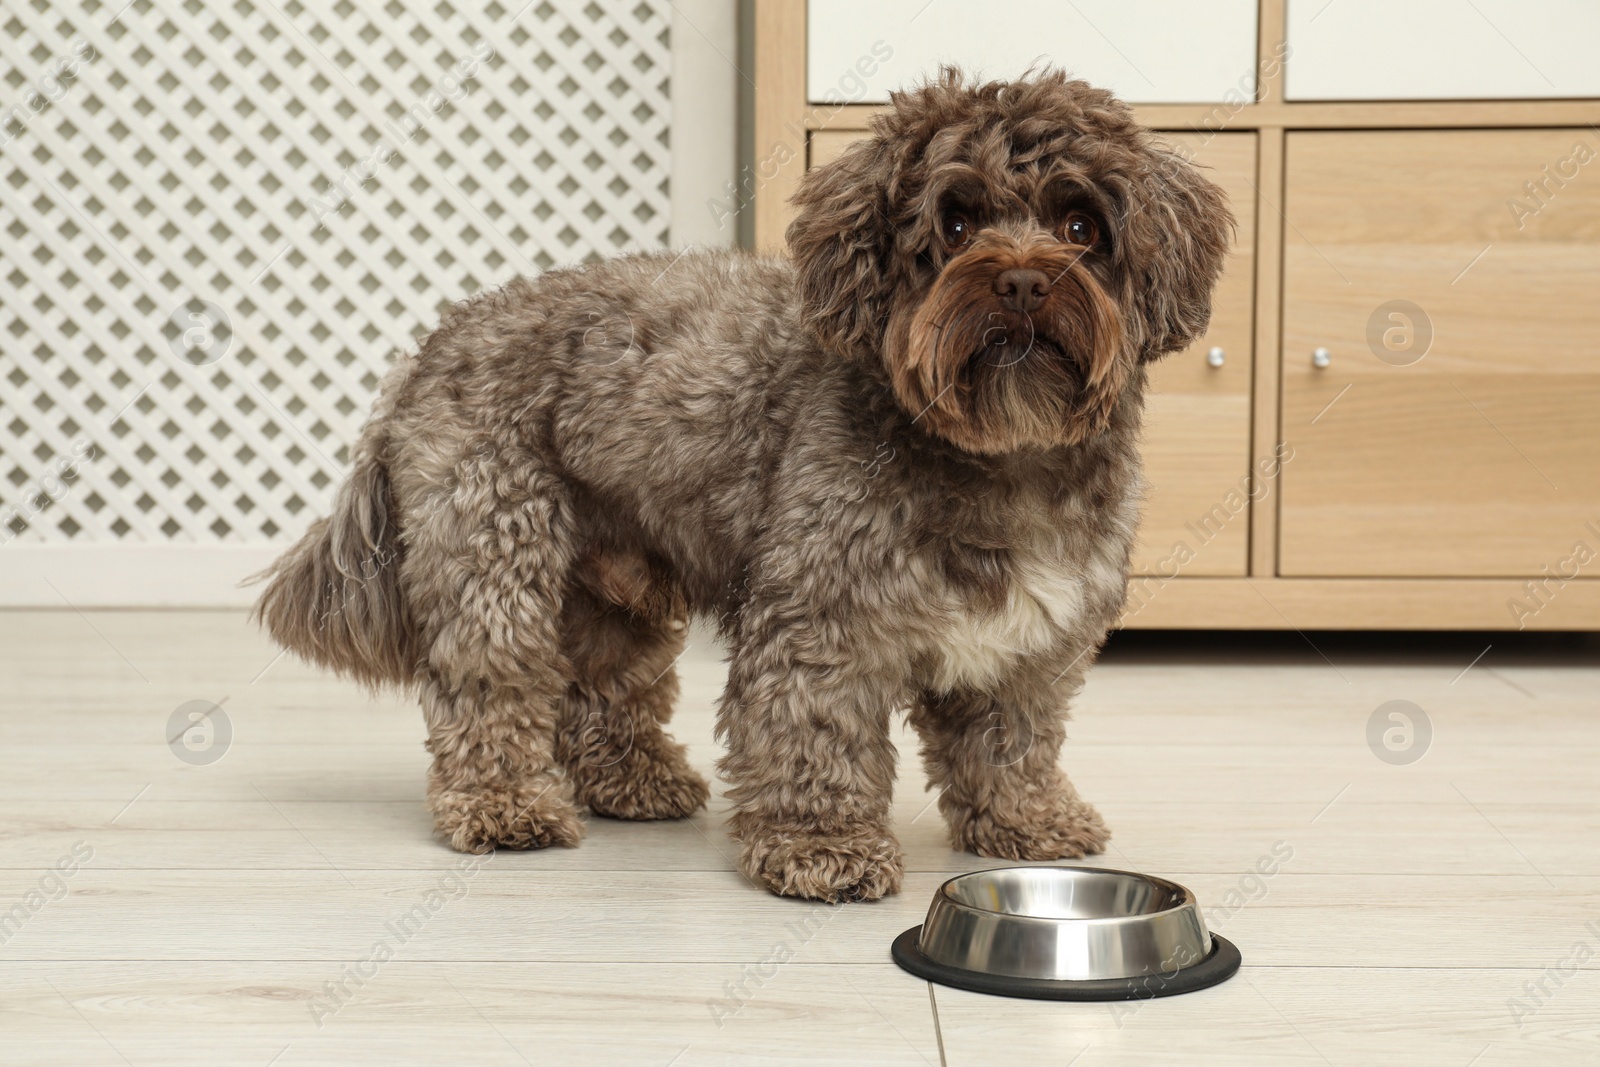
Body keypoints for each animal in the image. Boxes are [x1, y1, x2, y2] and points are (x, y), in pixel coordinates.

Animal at [256, 66, 1228, 902]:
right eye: (954, 225)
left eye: (1081, 227)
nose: (1023, 280)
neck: (1002, 452)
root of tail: (436, 341)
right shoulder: (822, 617)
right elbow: (816, 734)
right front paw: (823, 847)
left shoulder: (1029, 641)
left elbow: (1012, 741)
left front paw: (1029, 823)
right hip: (495, 551)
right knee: (490, 682)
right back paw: (506, 806)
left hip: (615, 585)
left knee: (598, 686)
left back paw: (633, 779)